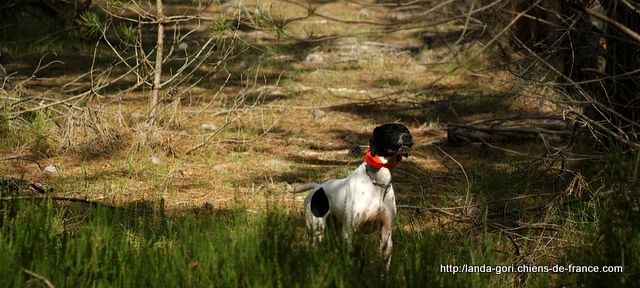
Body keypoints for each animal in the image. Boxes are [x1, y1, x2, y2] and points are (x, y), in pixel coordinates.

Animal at [292, 122, 412, 268]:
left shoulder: (386, 234)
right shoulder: (349, 232)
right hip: (317, 230)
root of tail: (317, 187)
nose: (407, 137)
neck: (378, 182)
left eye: (407, 130)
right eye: (391, 131)